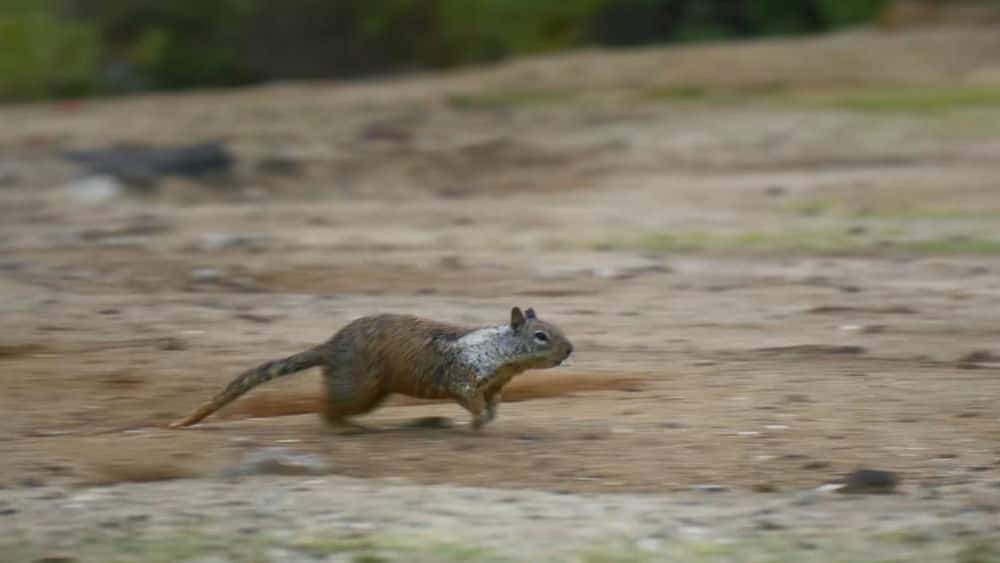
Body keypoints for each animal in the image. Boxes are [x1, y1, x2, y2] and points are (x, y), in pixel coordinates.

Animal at [169, 306, 576, 430]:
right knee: (327, 412)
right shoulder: (465, 377)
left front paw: (489, 420)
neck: (501, 353)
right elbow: (470, 400)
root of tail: (329, 347)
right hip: (359, 389)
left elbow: (493, 404)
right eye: (541, 336)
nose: (571, 349)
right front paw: (476, 422)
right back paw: (350, 427)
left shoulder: (495, 385)